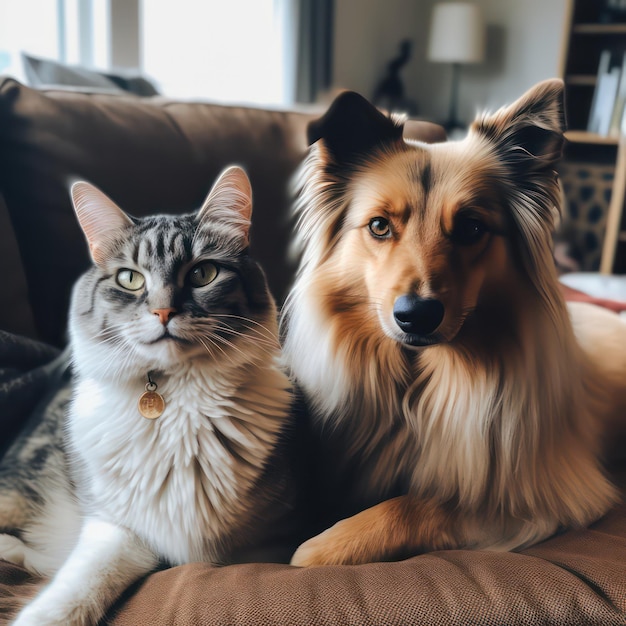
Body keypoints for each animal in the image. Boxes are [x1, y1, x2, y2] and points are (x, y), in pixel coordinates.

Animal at [0, 166, 298, 624]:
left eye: (202, 274)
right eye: (130, 279)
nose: (163, 312)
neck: (178, 399)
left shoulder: (273, 542)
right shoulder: (116, 526)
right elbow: (73, 589)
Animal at [282, 79, 624, 564]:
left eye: (470, 228)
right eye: (380, 226)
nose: (416, 316)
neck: (416, 386)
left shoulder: (545, 496)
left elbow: (416, 504)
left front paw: (326, 546)